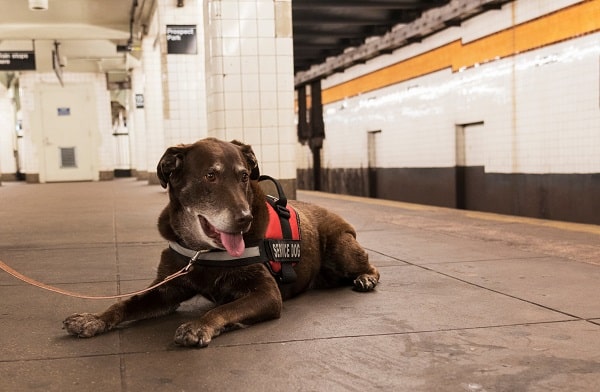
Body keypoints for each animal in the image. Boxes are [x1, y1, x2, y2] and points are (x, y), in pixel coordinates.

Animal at [62, 138, 380, 346]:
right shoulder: (166, 289)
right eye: (210, 175)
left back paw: (366, 278)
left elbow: (222, 309)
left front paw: (199, 325)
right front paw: (94, 318)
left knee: (371, 266)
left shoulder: (267, 294)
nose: (245, 219)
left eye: (244, 176)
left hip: (343, 249)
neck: (203, 251)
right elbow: (126, 303)